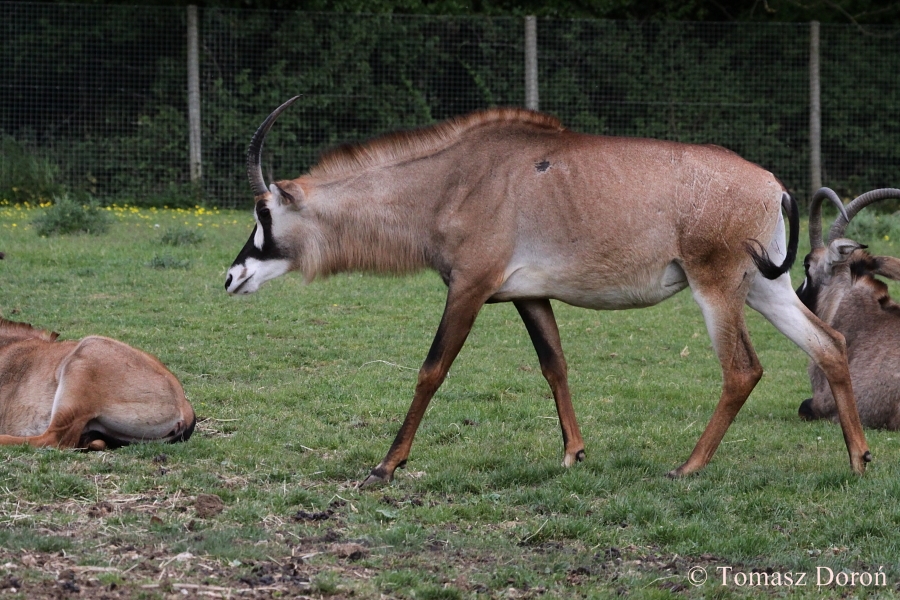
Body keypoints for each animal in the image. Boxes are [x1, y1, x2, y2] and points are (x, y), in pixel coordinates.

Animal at [226, 97, 871, 486]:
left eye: (264, 211)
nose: (231, 277)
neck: (452, 180)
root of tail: (772, 184)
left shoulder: (468, 289)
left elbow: (432, 370)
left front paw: (386, 465)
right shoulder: (528, 297)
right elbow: (554, 365)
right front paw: (573, 453)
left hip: (715, 287)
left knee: (742, 369)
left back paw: (688, 467)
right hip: (766, 287)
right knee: (829, 343)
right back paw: (859, 458)